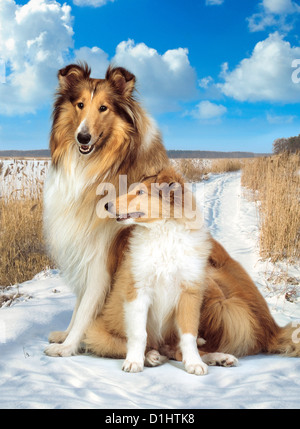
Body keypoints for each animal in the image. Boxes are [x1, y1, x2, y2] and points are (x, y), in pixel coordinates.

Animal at [42, 62, 170, 354]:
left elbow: (87, 307)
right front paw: (65, 337)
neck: (96, 167)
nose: (83, 137)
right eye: (79, 105)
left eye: (103, 108)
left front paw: (68, 347)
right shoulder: (81, 248)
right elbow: (79, 305)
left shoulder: (101, 257)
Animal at [85, 166, 239, 372]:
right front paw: (134, 361)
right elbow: (138, 334)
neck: (163, 232)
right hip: (97, 332)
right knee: (129, 344)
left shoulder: (189, 293)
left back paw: (219, 358)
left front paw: (194, 363)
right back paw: (150, 356)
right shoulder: (138, 290)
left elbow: (189, 335)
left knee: (177, 350)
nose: (107, 205)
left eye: (140, 192)